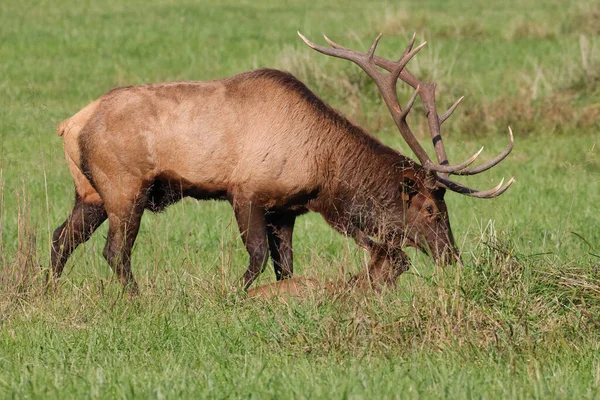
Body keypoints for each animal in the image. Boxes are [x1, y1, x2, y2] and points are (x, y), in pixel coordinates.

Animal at [49, 32, 512, 294]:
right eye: (431, 209)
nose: (453, 256)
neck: (325, 175)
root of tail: (70, 124)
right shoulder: (246, 192)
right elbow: (256, 258)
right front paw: (230, 297)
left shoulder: (286, 209)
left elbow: (284, 266)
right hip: (125, 186)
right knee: (115, 251)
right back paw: (136, 299)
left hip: (90, 191)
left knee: (61, 238)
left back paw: (47, 292)